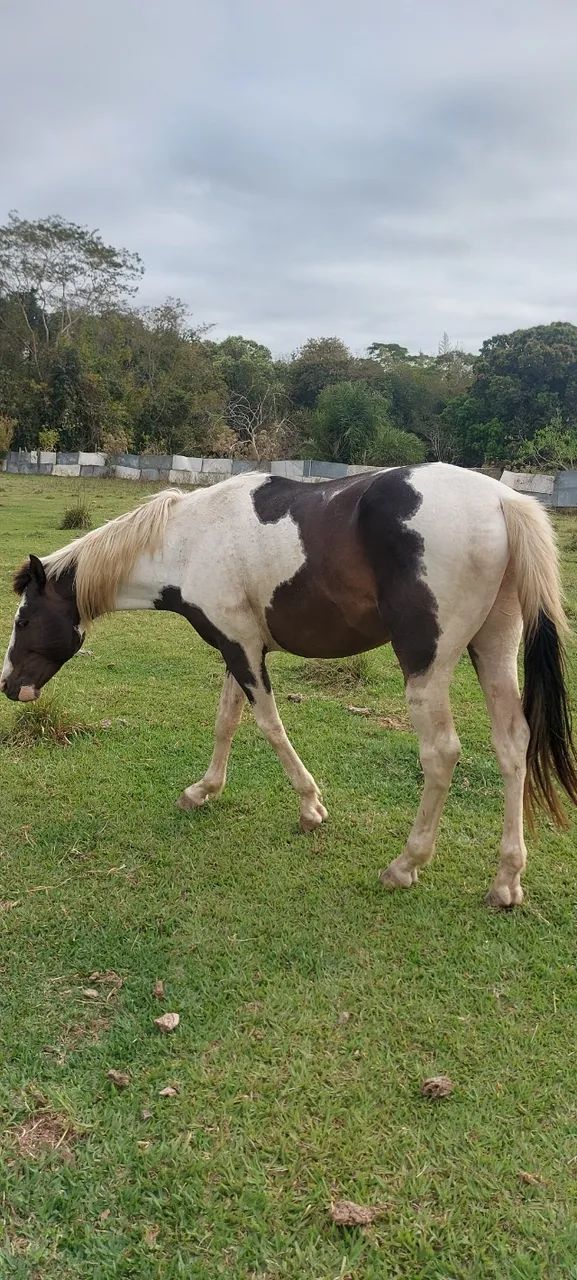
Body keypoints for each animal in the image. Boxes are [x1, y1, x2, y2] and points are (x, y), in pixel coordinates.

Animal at [2, 463, 576, 907]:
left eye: (24, 620)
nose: (10, 686)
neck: (189, 540)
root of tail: (502, 499)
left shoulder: (243, 651)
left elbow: (267, 725)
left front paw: (310, 807)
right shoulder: (237, 647)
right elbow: (226, 722)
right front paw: (202, 791)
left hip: (426, 666)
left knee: (441, 753)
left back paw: (405, 865)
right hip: (494, 648)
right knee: (512, 745)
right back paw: (506, 882)